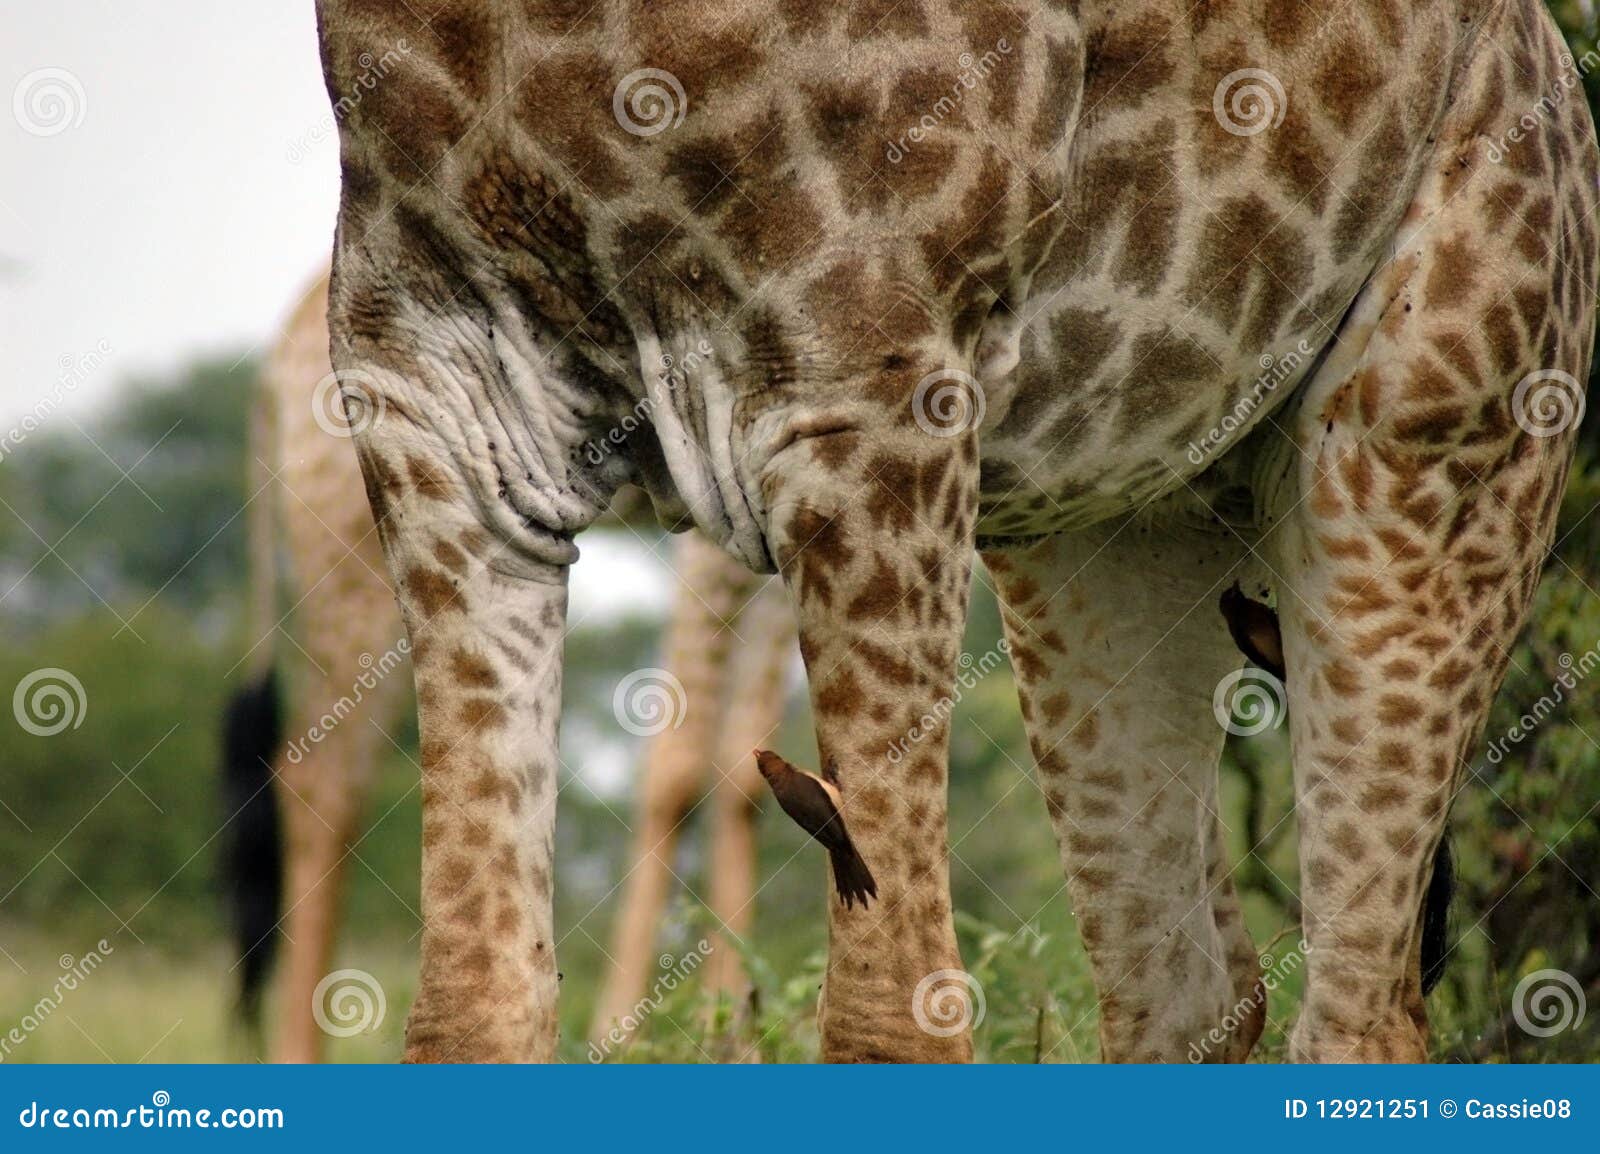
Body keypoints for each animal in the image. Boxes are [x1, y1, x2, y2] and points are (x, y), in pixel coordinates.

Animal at [222, 271, 793, 1062]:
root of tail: (274, 365)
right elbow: (678, 771)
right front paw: (625, 1032)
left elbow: (745, 777)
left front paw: (740, 1028)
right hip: (357, 552)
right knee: (319, 780)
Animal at [314, 0, 1599, 1062]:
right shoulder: (427, 391)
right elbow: (468, 1008)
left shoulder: (870, 374)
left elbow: (890, 1013)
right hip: (1105, 531)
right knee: (1189, 991)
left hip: (1439, 443)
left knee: (1360, 1013)